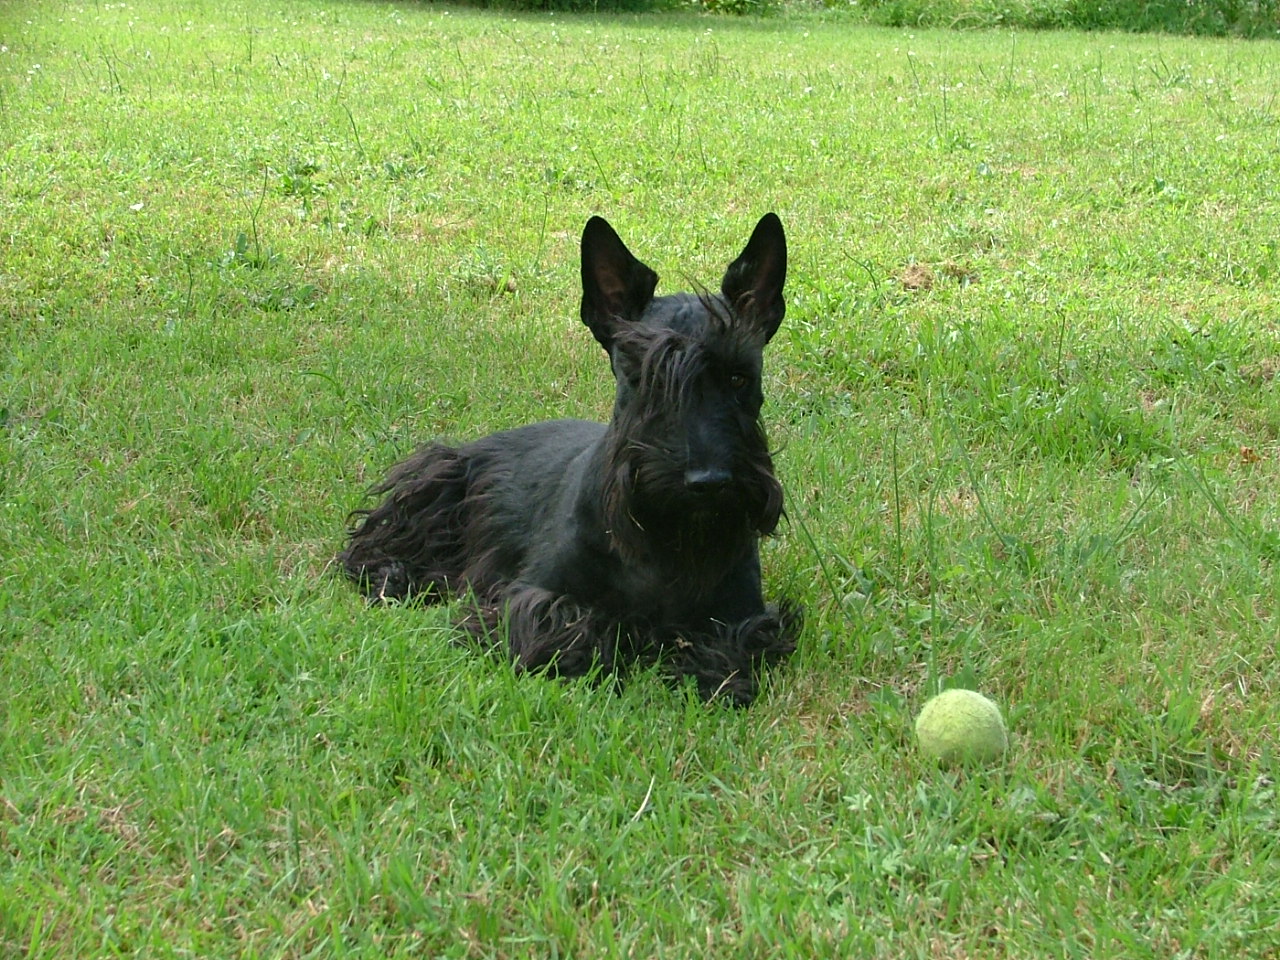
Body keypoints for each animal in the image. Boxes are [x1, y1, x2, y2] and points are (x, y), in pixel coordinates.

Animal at [340, 212, 798, 706]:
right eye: (643, 376)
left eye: (739, 377)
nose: (707, 482)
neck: (662, 545)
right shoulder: (532, 594)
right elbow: (572, 628)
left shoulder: (738, 615)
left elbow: (726, 647)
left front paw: (711, 676)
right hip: (437, 482)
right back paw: (393, 576)